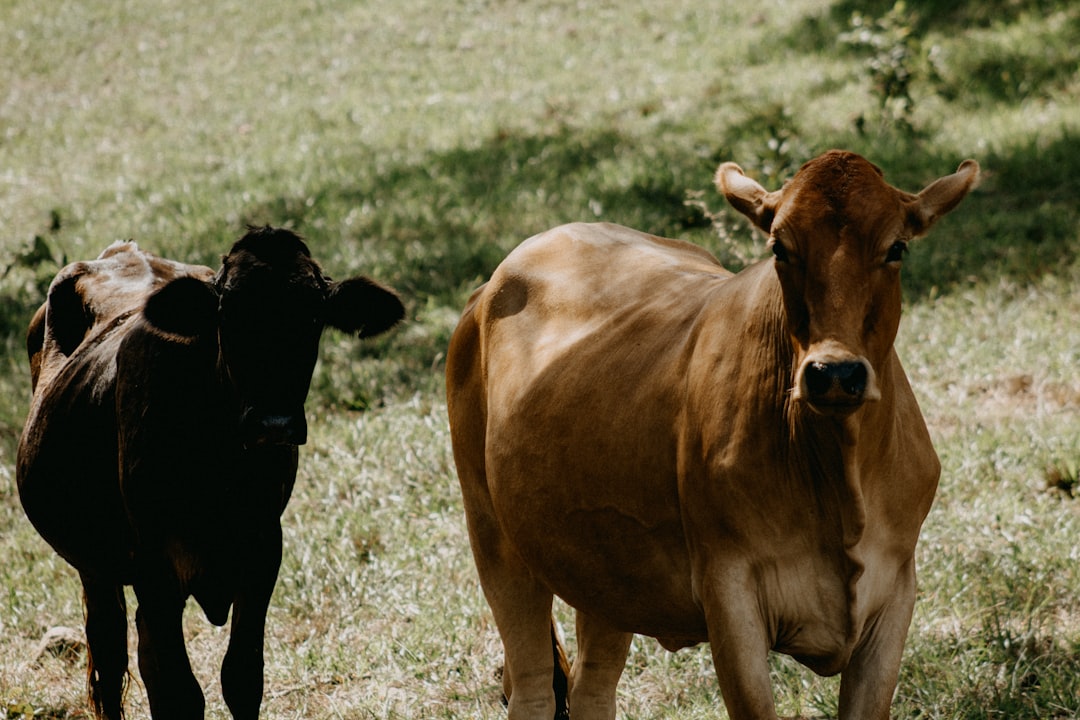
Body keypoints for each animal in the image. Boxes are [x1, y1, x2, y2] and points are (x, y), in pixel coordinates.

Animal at [16, 226, 406, 720]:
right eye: (228, 314)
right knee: (109, 659)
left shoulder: (264, 551)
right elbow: (179, 692)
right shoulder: (155, 572)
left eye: (315, 316)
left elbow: (241, 676)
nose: (274, 424)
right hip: (95, 567)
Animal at [447, 148, 980, 716]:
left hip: (605, 568)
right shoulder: (730, 592)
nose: (834, 373)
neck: (839, 479)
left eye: (896, 247)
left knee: (591, 686)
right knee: (532, 685)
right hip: (492, 534)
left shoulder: (895, 590)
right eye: (780, 247)